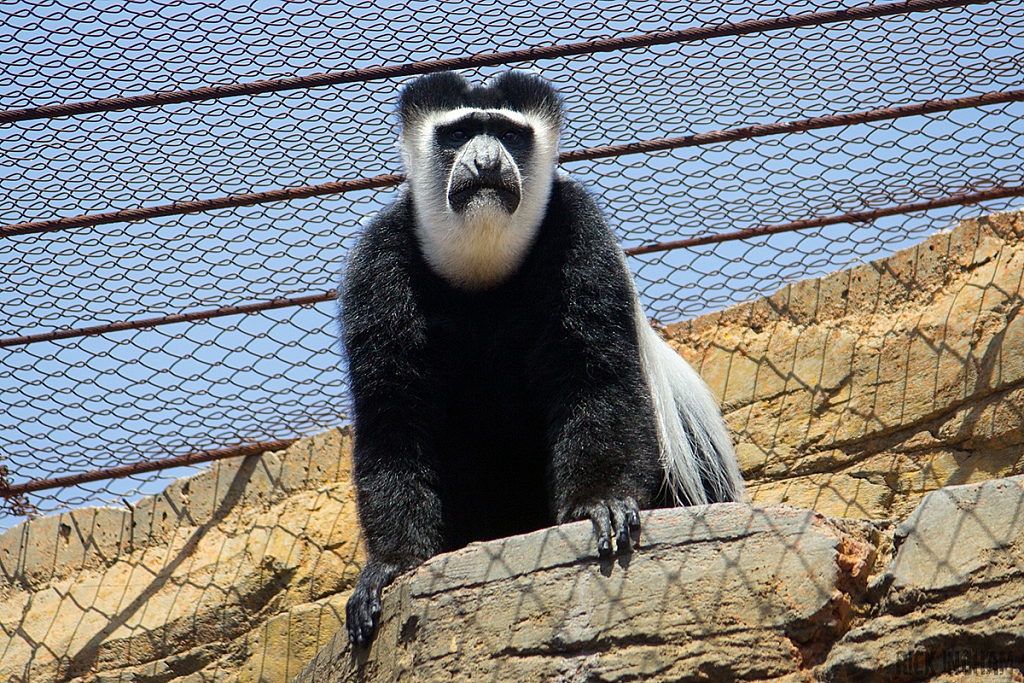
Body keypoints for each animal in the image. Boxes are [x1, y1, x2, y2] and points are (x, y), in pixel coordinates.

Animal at [339, 70, 749, 647]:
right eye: (459, 132)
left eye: (511, 136)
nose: (487, 162)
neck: (483, 269)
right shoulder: (379, 266)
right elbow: (393, 418)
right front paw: (390, 567)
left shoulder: (580, 236)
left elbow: (595, 378)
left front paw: (599, 505)